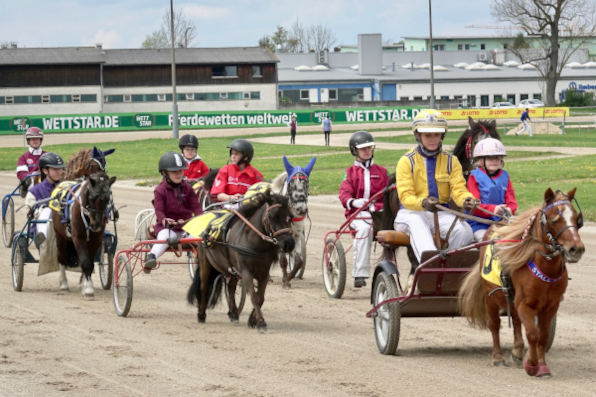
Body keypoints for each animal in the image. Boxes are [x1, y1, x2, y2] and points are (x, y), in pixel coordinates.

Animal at [187, 189, 294, 332]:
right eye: (272, 216)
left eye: (290, 217)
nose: (289, 244)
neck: (254, 242)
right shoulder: (246, 272)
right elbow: (254, 297)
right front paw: (261, 322)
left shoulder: (264, 274)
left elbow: (260, 298)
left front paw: (253, 320)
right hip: (206, 263)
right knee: (204, 286)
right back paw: (201, 314)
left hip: (232, 269)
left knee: (231, 287)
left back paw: (233, 313)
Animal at [272, 155, 316, 288]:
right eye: (291, 187)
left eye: (307, 185)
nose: (301, 209)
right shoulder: (278, 237)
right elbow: (283, 260)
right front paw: (285, 281)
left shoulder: (296, 237)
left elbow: (298, 261)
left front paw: (289, 277)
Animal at [458, 187, 584, 376]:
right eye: (554, 219)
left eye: (577, 218)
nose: (577, 249)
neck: (545, 269)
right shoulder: (525, 303)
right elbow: (532, 333)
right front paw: (531, 364)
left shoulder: (551, 306)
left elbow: (542, 336)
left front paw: (542, 366)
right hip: (489, 297)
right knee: (494, 325)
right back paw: (498, 357)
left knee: (517, 321)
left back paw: (517, 351)